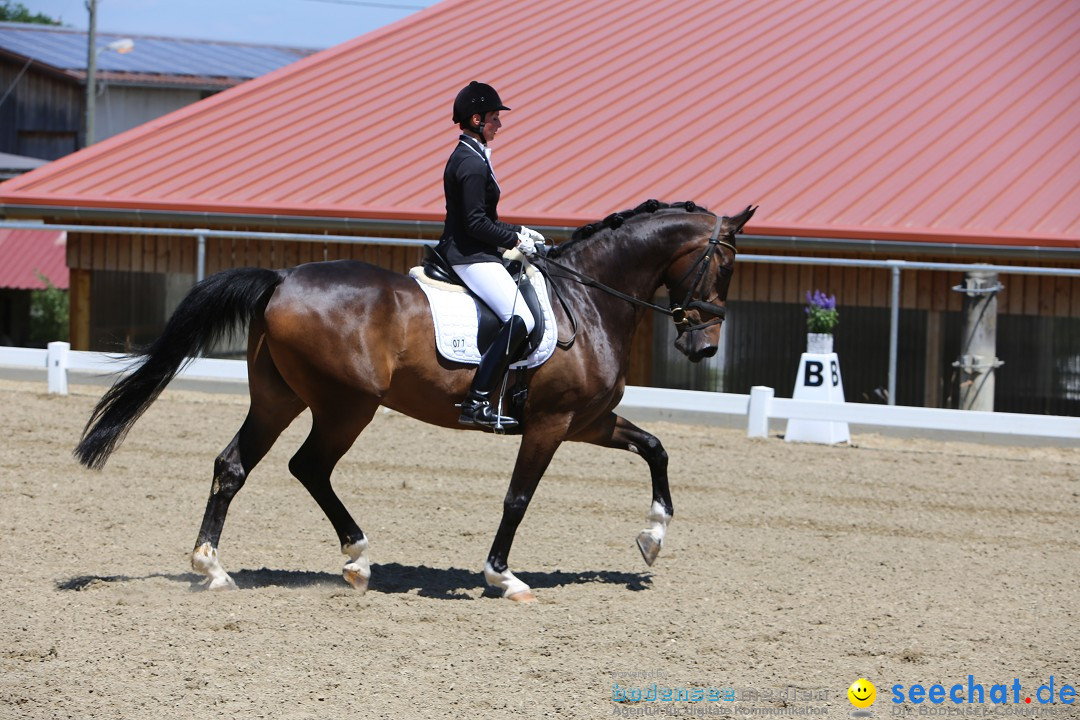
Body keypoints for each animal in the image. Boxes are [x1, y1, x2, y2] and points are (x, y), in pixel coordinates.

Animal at [76, 201, 756, 604]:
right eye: (724, 266)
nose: (702, 345)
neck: (588, 302)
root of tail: (283, 278)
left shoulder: (586, 421)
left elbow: (655, 448)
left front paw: (653, 537)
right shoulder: (550, 422)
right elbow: (518, 498)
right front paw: (503, 576)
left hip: (279, 398)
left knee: (234, 465)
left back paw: (215, 567)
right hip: (347, 404)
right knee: (308, 467)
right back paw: (355, 559)